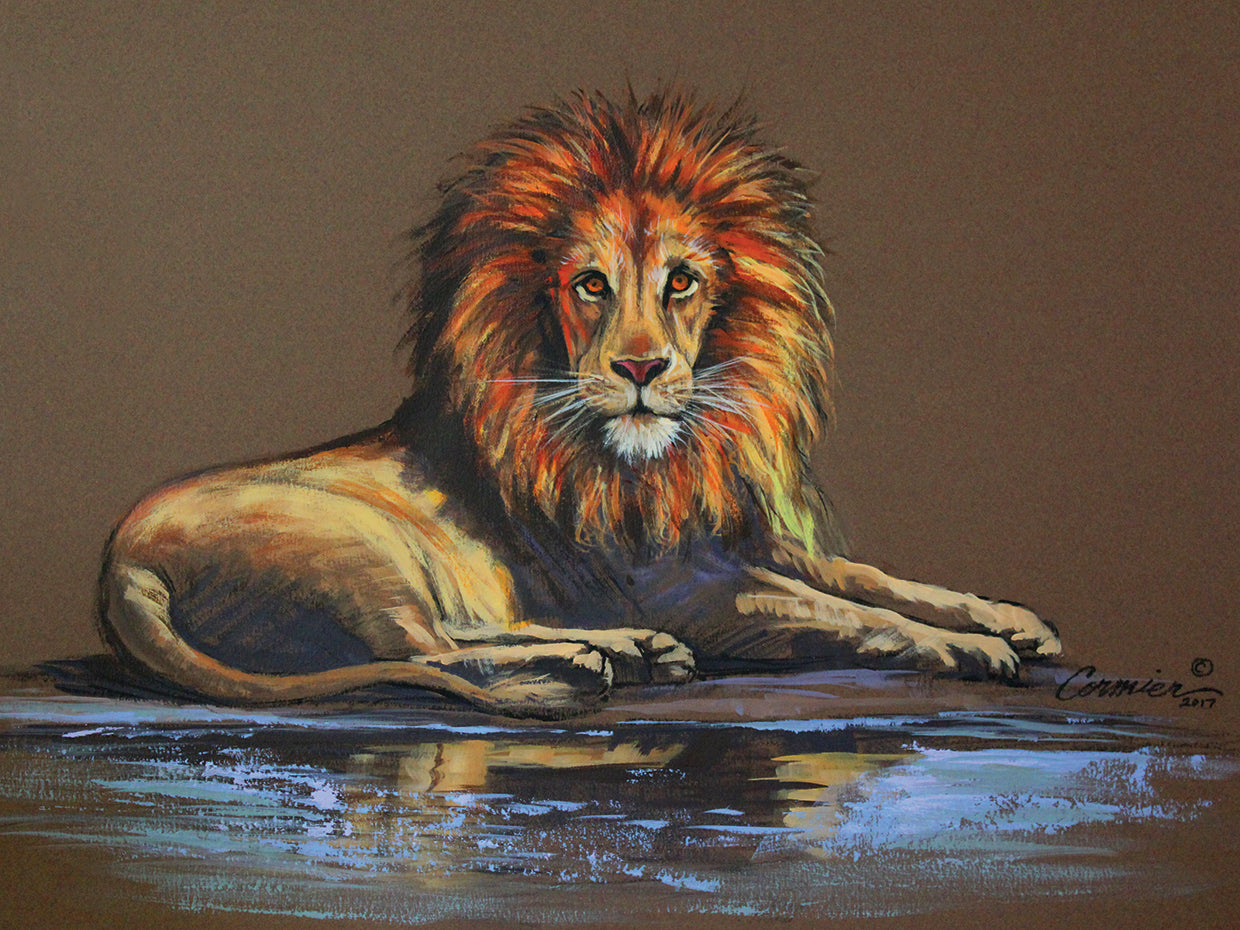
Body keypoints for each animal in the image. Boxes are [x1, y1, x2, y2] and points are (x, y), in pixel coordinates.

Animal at [97, 90, 1061, 718]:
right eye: (591, 284)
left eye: (682, 281)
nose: (641, 366)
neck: (672, 454)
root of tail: (121, 568)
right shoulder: (688, 588)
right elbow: (847, 614)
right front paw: (975, 650)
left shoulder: (742, 541)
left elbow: (879, 580)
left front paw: (1010, 620)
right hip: (358, 547)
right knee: (425, 654)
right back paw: (587, 660)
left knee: (453, 640)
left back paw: (623, 653)